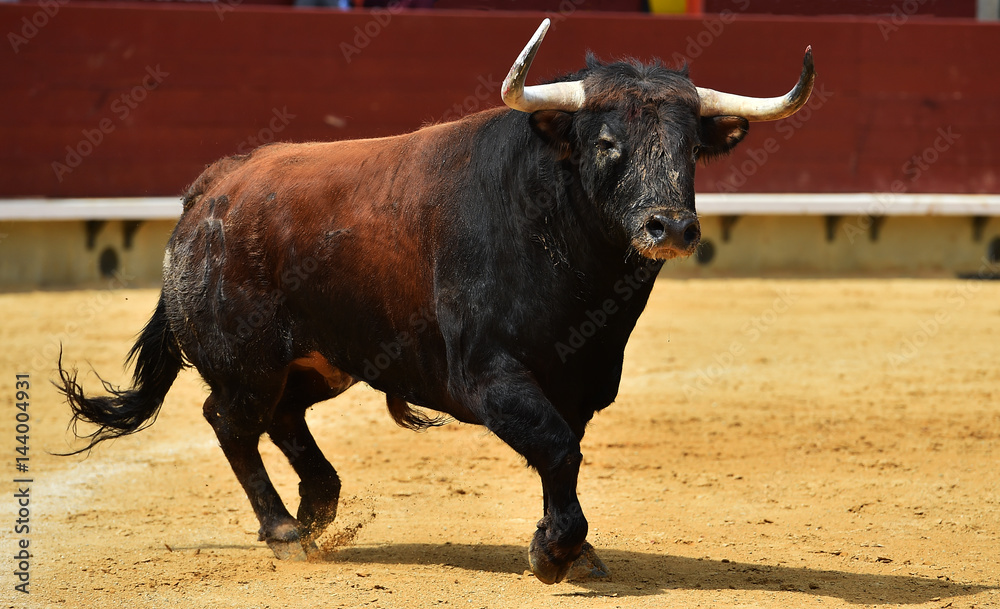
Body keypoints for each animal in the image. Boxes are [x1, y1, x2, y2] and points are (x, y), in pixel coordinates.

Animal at [58, 19, 814, 584]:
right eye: (606, 143)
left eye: (691, 150)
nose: (671, 227)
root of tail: (211, 189)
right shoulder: (487, 376)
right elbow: (557, 448)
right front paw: (554, 552)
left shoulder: (579, 382)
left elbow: (562, 452)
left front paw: (570, 548)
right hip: (247, 361)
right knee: (231, 420)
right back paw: (284, 531)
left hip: (322, 361)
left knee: (283, 418)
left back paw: (316, 508)